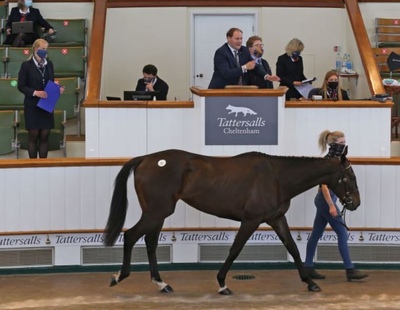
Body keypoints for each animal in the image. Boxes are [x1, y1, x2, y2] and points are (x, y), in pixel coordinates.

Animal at [103, 149, 360, 294]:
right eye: (348, 176)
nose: (355, 203)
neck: (276, 177)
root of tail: (146, 159)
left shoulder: (276, 219)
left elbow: (293, 248)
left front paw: (309, 282)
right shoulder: (251, 220)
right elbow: (235, 249)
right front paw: (222, 284)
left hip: (157, 214)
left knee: (150, 242)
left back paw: (161, 284)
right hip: (156, 212)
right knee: (131, 235)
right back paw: (118, 277)